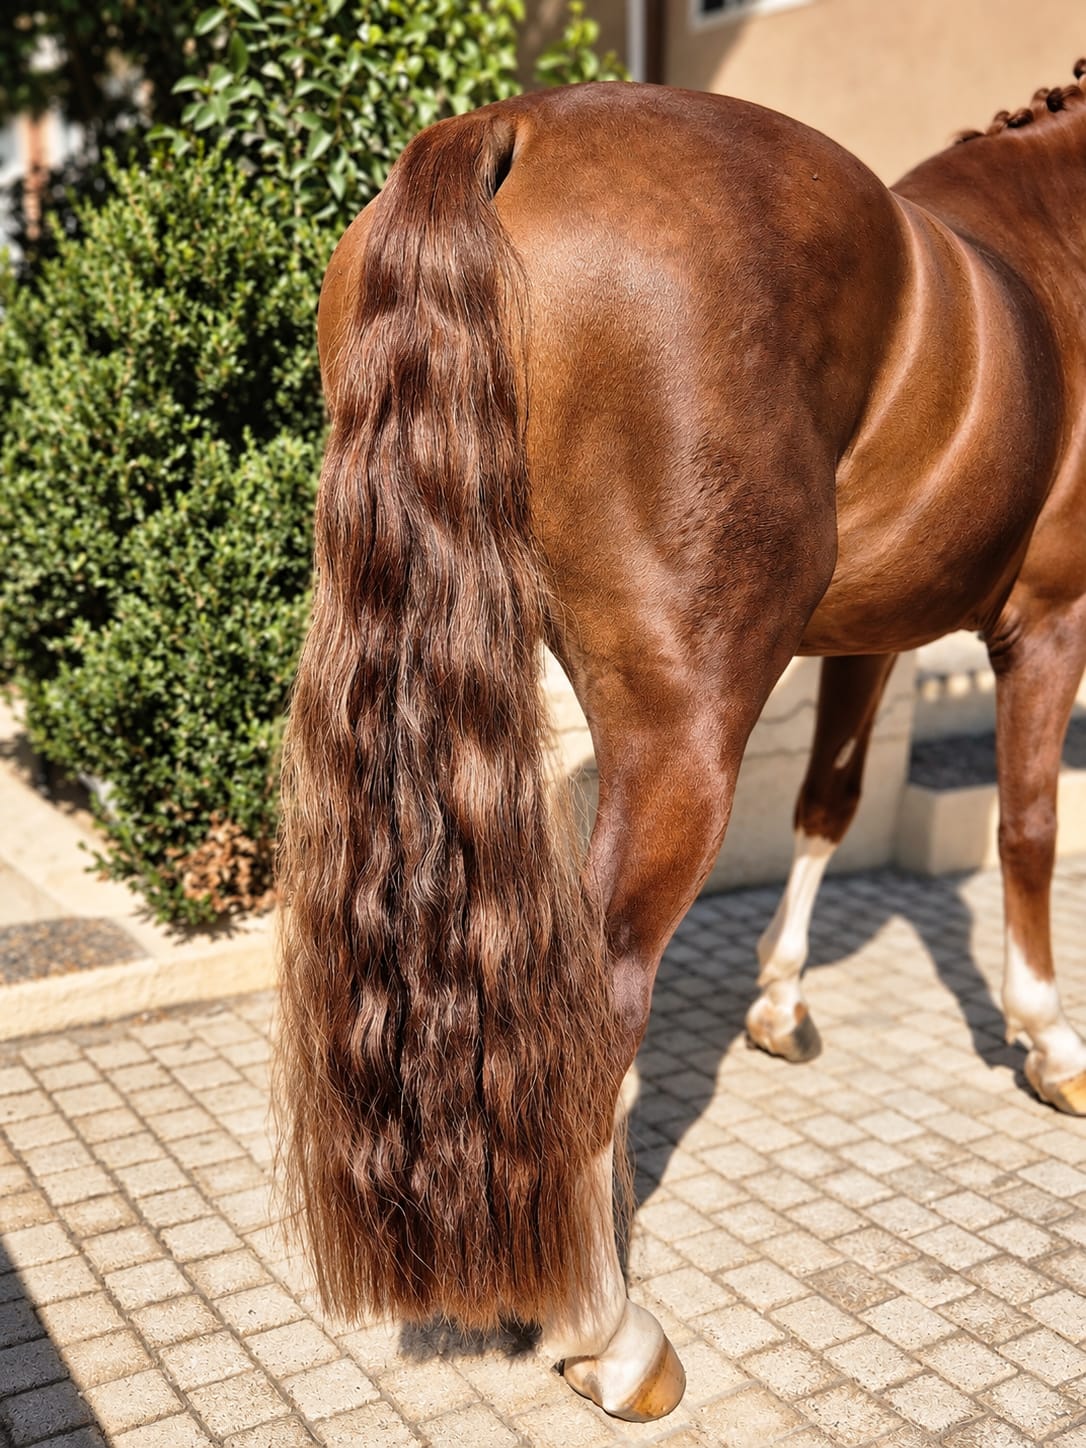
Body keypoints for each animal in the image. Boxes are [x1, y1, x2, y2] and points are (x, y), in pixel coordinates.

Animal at [277, 70, 1086, 1423]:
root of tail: (506, 129)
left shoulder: (867, 636)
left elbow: (830, 799)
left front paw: (781, 999)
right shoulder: (1049, 619)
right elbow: (1027, 827)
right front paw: (1051, 1040)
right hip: (686, 729)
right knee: (593, 1001)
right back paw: (608, 1330)